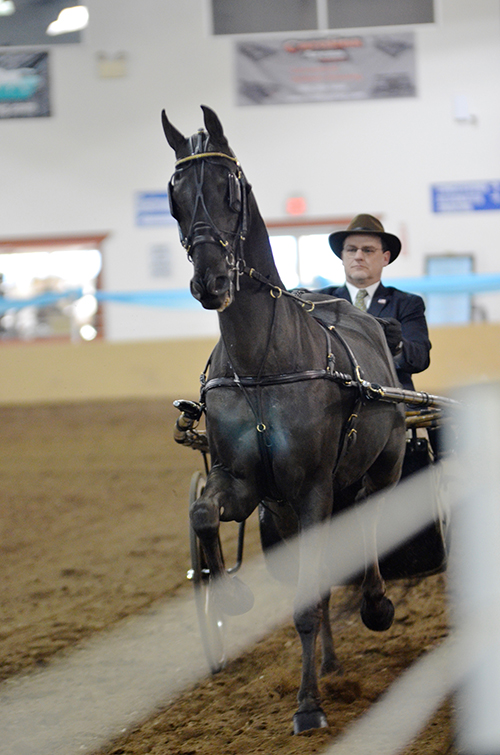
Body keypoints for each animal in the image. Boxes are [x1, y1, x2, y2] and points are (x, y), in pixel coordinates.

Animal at [162, 106, 408, 732]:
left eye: (230, 188)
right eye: (175, 196)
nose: (210, 282)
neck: (263, 366)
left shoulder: (313, 485)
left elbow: (308, 598)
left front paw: (307, 708)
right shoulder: (248, 484)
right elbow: (202, 512)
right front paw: (229, 597)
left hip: (383, 463)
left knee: (374, 517)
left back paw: (375, 605)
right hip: (289, 509)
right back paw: (330, 663)